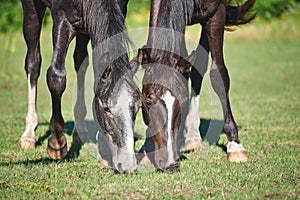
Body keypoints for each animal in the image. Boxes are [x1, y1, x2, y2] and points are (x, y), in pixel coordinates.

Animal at [20, 0, 141, 173]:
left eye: (137, 107)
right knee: (33, 62)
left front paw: (103, 150)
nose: (128, 165)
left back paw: (79, 131)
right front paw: (56, 143)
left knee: (80, 61)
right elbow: (56, 76)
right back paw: (29, 134)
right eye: (106, 108)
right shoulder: (62, 19)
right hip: (32, 9)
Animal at [137, 0, 256, 172]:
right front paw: (146, 148)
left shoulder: (216, 14)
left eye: (183, 101)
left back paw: (194, 135)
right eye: (147, 102)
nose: (170, 163)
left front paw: (235, 145)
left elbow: (217, 74)